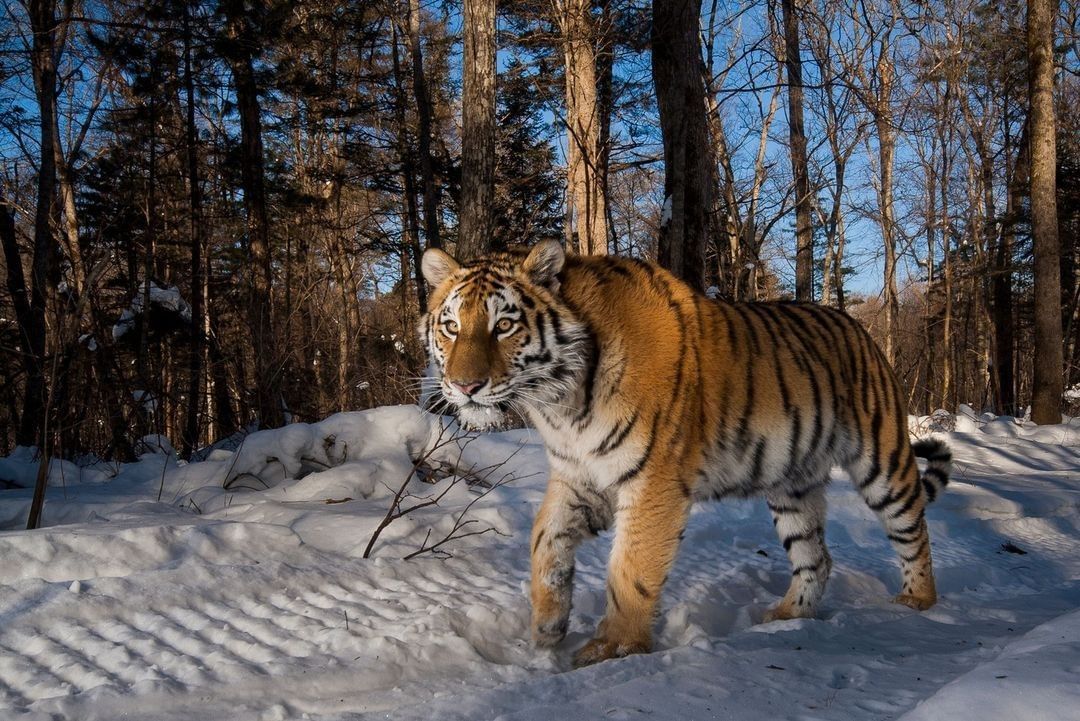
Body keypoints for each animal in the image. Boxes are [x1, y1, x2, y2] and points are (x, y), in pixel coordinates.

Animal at [416, 239, 950, 669]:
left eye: (504, 325)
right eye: (451, 326)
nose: (464, 386)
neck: (561, 402)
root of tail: (861, 329)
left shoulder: (652, 482)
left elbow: (630, 569)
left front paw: (613, 648)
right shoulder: (579, 476)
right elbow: (544, 541)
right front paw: (546, 628)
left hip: (882, 460)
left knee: (913, 530)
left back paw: (917, 603)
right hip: (792, 485)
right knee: (816, 557)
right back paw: (786, 616)